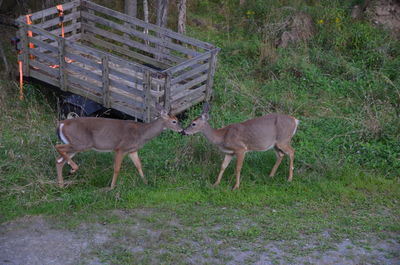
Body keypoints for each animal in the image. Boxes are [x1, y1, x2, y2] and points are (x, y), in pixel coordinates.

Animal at [54, 103, 183, 188]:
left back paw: (62, 184)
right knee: (58, 148)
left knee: (59, 161)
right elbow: (116, 168)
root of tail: (62, 123)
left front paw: (146, 183)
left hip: (76, 145)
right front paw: (111, 187)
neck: (141, 134)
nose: (182, 130)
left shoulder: (132, 150)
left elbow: (139, 166)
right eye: (174, 121)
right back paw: (73, 169)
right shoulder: (120, 148)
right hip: (81, 143)